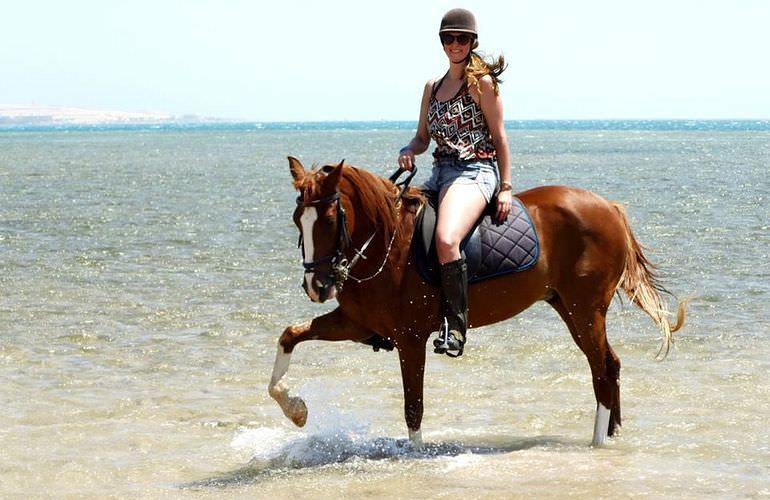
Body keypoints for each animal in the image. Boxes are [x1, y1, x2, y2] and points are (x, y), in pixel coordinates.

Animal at [268, 156, 684, 446]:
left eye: (328, 220)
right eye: (296, 219)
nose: (316, 285)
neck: (387, 244)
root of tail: (608, 206)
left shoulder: (410, 339)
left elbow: (413, 407)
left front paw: (415, 456)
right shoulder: (356, 323)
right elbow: (290, 335)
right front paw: (296, 410)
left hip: (585, 311)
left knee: (601, 370)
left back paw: (597, 444)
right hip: (569, 308)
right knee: (609, 364)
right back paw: (612, 435)